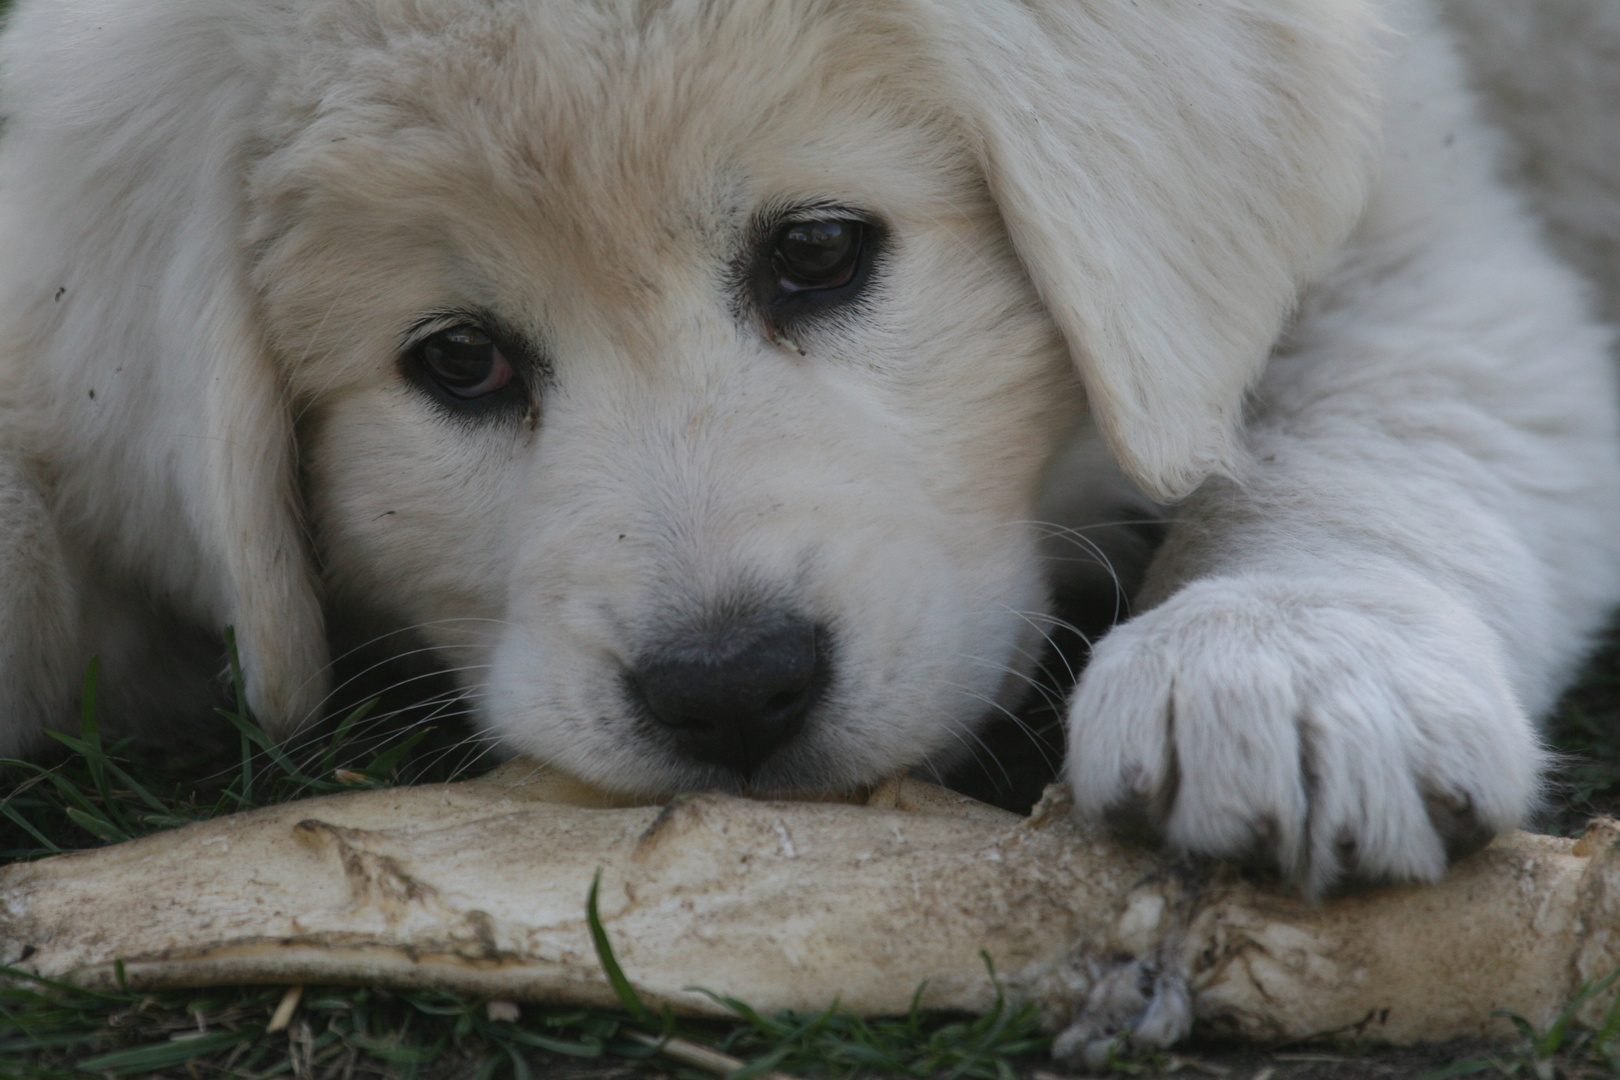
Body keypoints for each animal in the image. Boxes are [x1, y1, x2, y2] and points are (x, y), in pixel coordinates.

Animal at [3, 0, 1620, 893]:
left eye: (819, 252)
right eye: (459, 360)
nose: (730, 690)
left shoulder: (1416, 223)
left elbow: (1377, 422)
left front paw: (1281, 668)